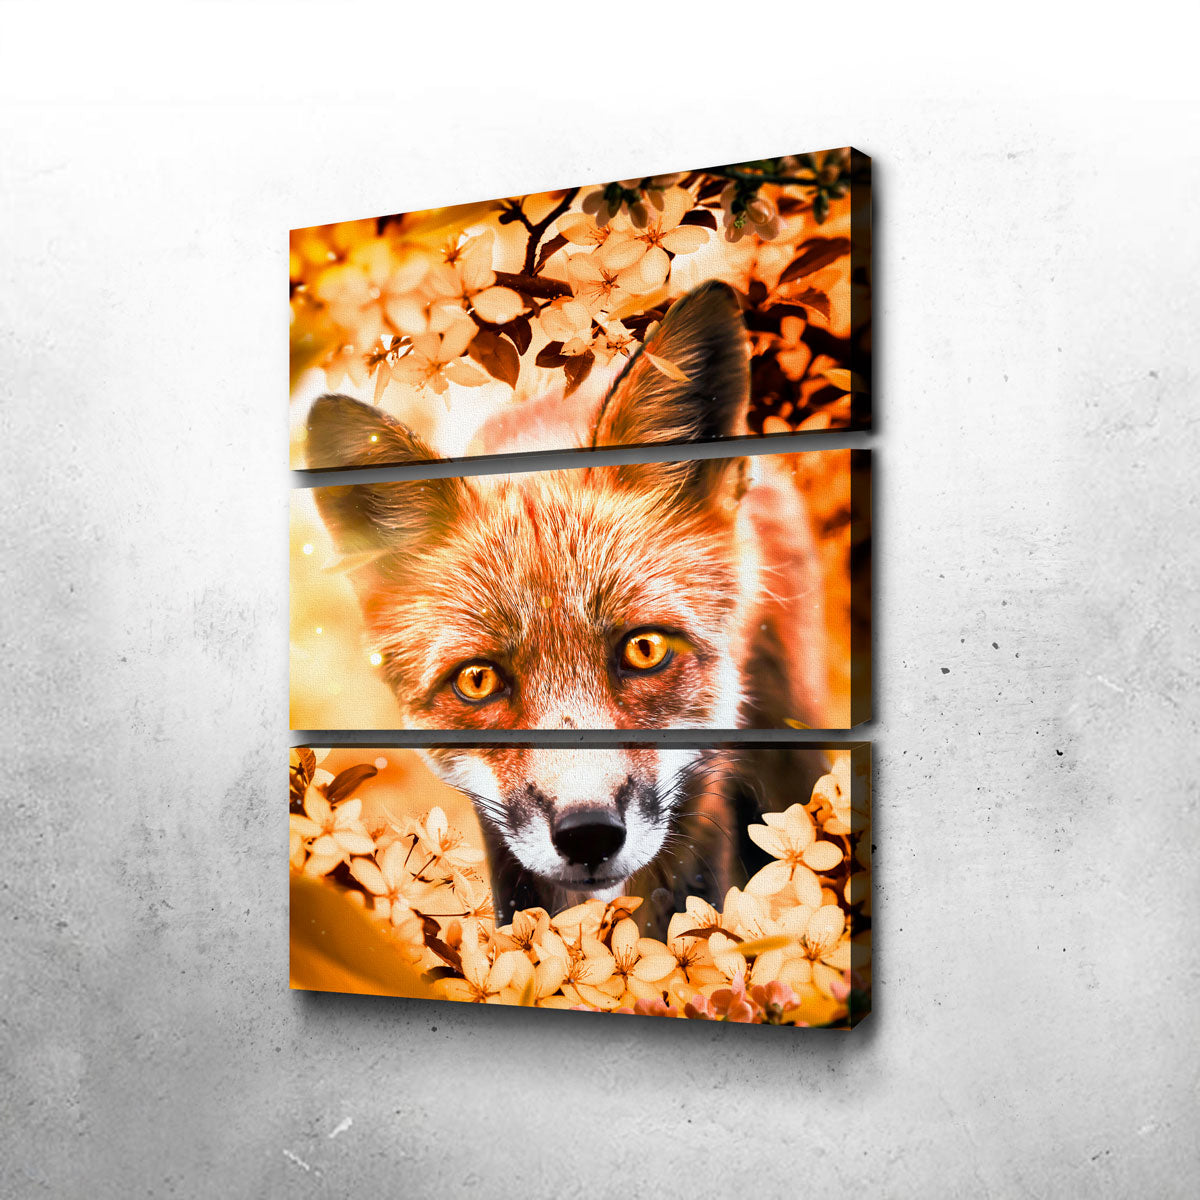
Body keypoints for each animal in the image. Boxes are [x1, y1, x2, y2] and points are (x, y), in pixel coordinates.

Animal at [305, 281, 832, 935]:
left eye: (645, 649)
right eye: (477, 681)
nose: (588, 835)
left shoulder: (702, 777)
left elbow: (684, 903)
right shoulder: (499, 831)